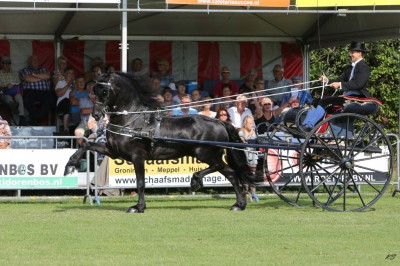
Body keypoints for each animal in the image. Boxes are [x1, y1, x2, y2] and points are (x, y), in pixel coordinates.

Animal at [65, 71, 253, 213]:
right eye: (94, 90)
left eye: (104, 91)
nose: (96, 115)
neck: (132, 120)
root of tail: (220, 122)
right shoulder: (113, 151)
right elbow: (87, 144)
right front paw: (70, 165)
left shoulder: (137, 156)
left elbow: (140, 183)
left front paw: (138, 207)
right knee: (232, 174)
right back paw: (238, 204)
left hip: (206, 153)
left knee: (222, 168)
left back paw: (196, 181)